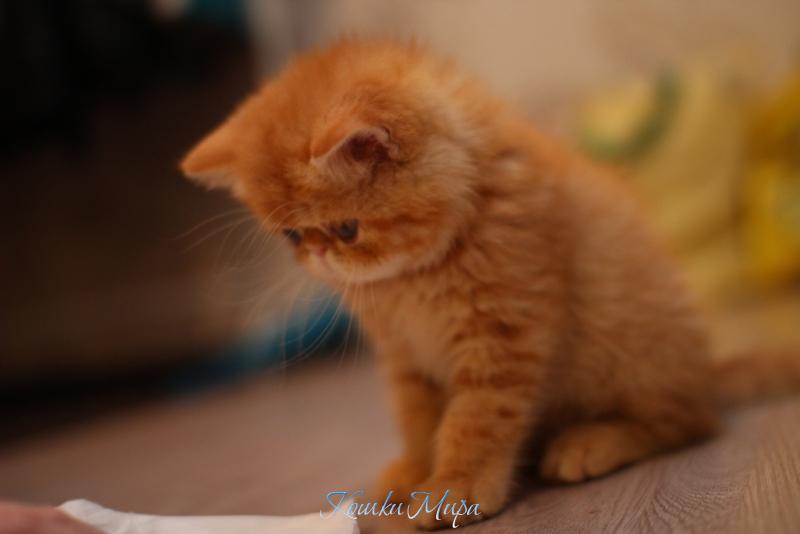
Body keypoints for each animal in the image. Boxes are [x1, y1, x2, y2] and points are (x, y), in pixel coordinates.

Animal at [180, 39, 800, 529]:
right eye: (291, 236)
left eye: (347, 229)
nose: (319, 257)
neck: (411, 282)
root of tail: (704, 370)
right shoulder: (404, 358)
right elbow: (418, 418)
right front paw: (414, 469)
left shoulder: (502, 334)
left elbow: (475, 419)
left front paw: (455, 486)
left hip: (630, 347)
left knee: (688, 421)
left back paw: (595, 440)